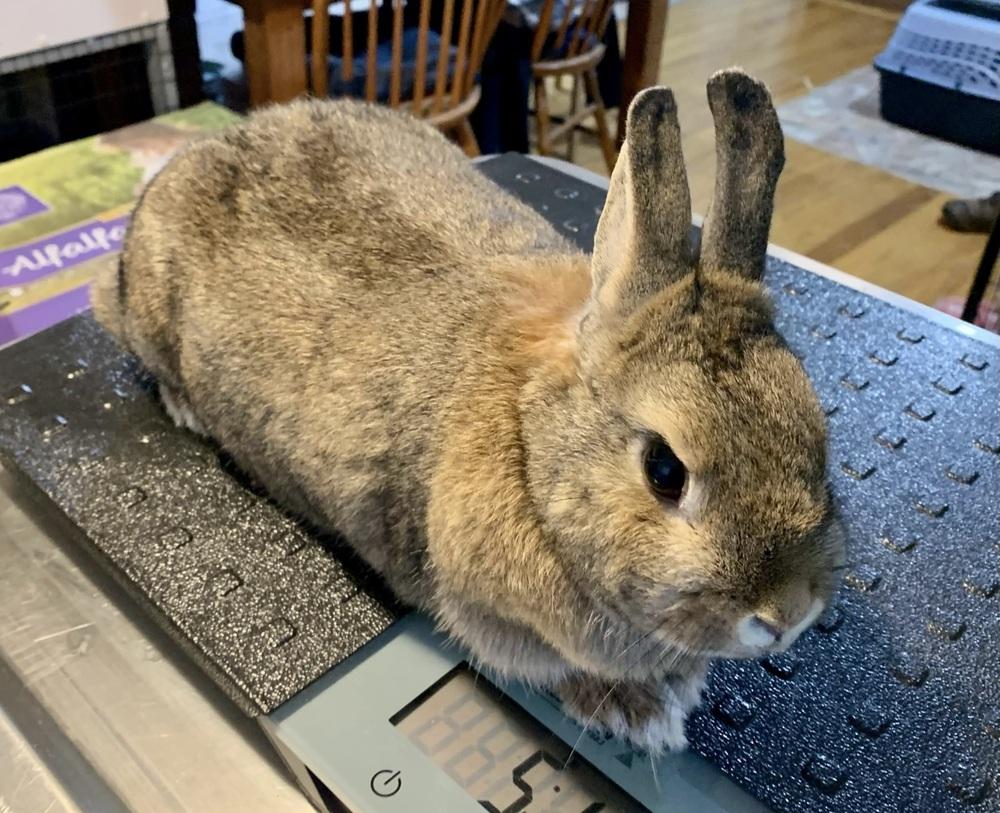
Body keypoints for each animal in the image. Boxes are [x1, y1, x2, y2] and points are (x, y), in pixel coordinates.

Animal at [92, 68, 845, 755]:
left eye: (817, 436)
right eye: (665, 470)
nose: (786, 614)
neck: (529, 443)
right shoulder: (489, 615)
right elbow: (550, 668)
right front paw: (640, 712)